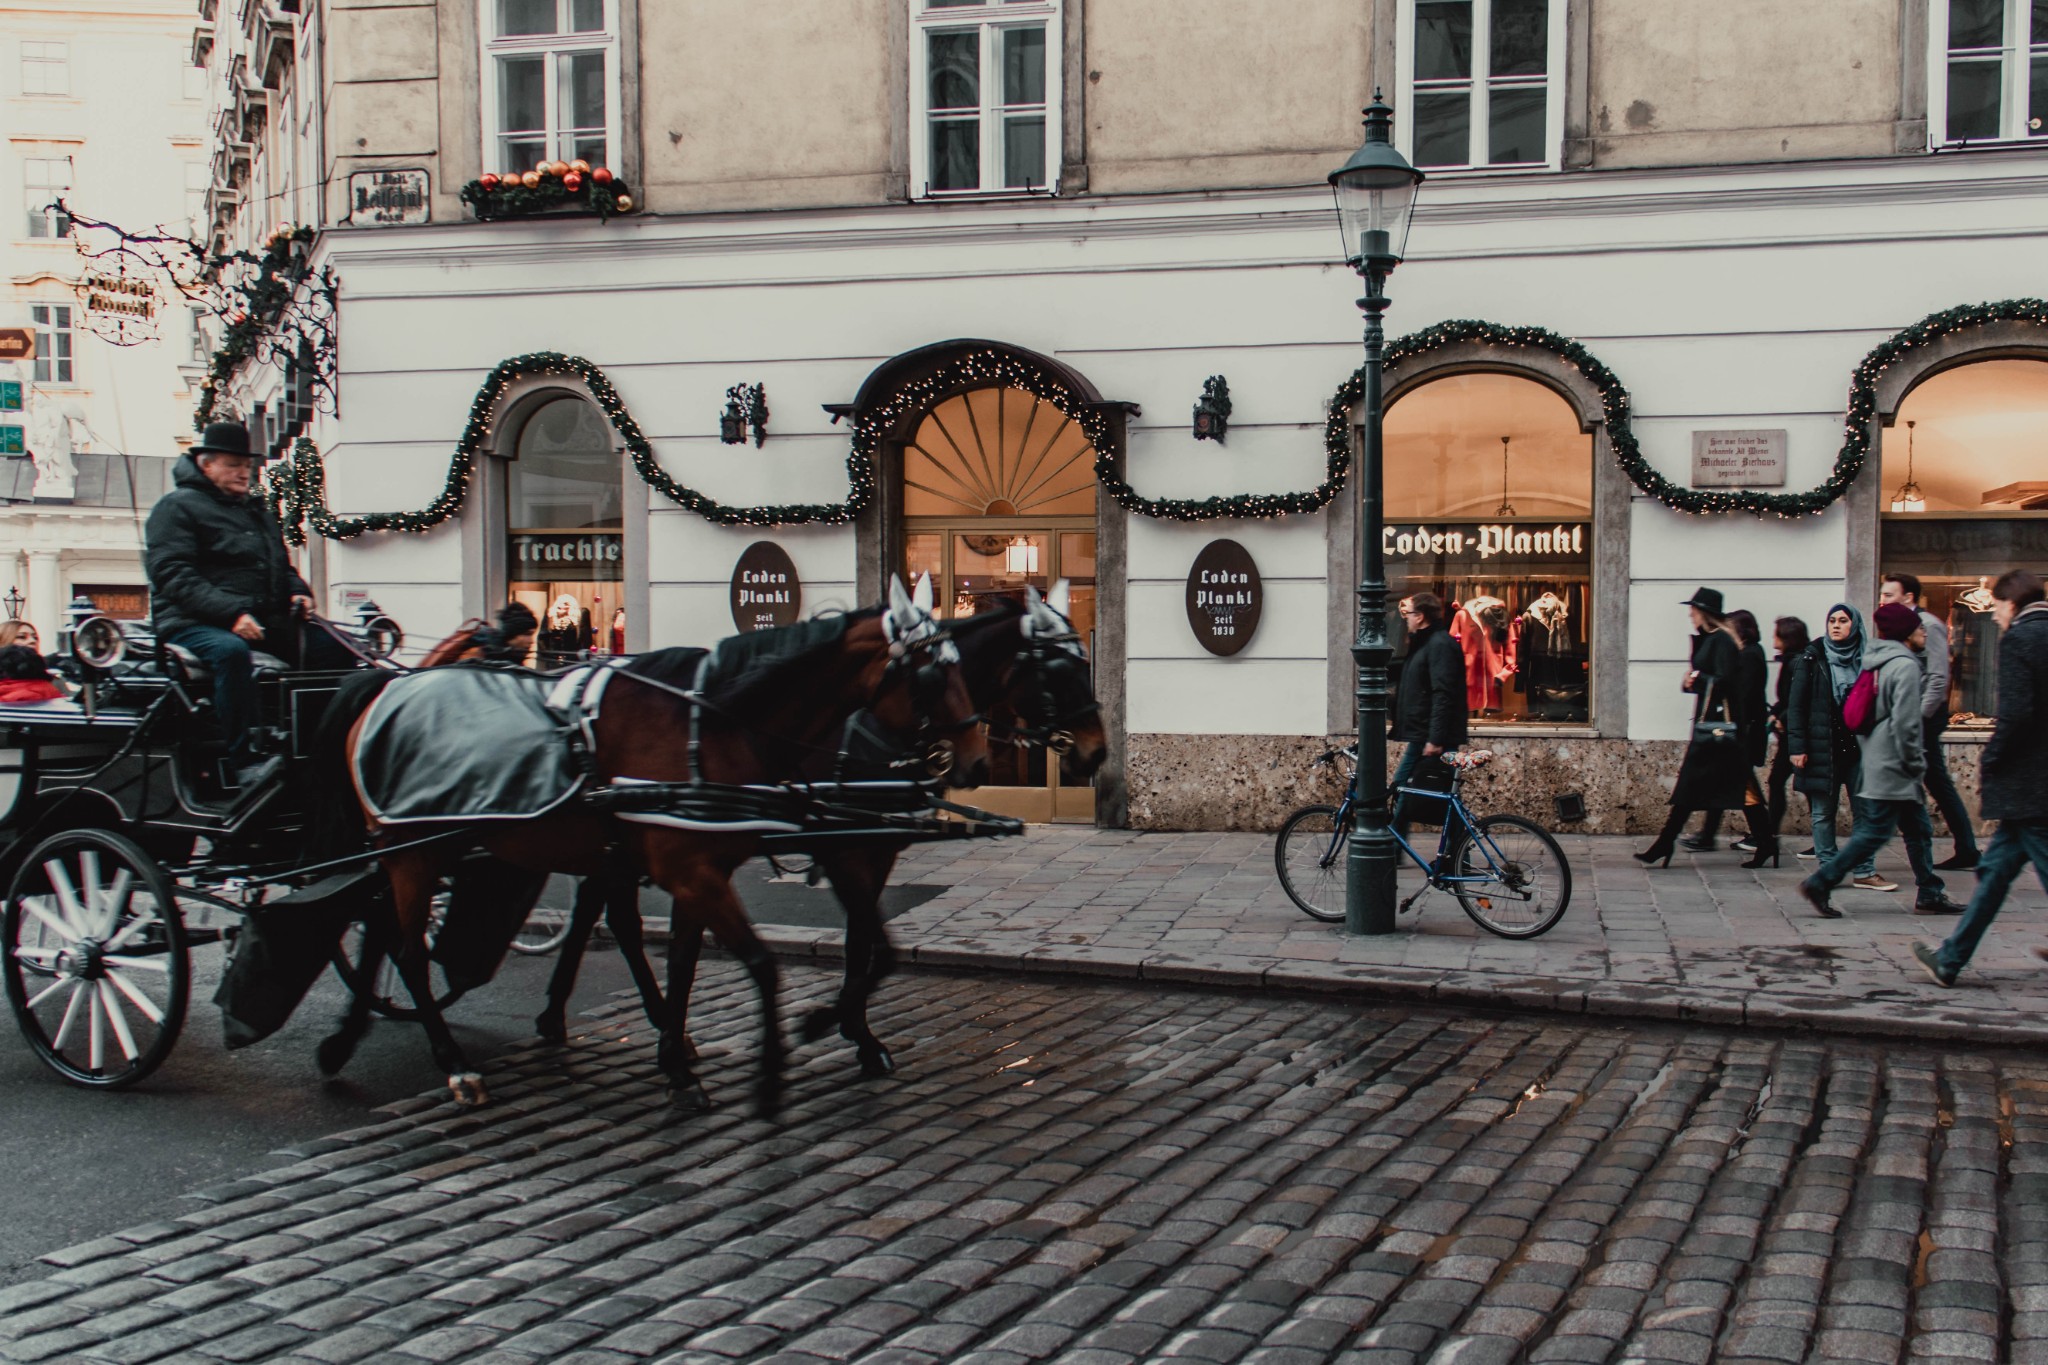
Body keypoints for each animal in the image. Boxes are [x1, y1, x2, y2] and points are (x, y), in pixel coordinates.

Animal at [319, 581, 991, 1113]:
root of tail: (383, 688)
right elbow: (766, 963)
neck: (711, 725)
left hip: (446, 845)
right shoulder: (706, 866)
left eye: (966, 665)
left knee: (389, 927)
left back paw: (351, 1040)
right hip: (411, 847)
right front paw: (784, 1058)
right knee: (409, 950)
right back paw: (454, 1064)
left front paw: (680, 1056)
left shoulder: (708, 864)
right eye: (933, 673)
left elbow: (694, 960)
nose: (978, 761)